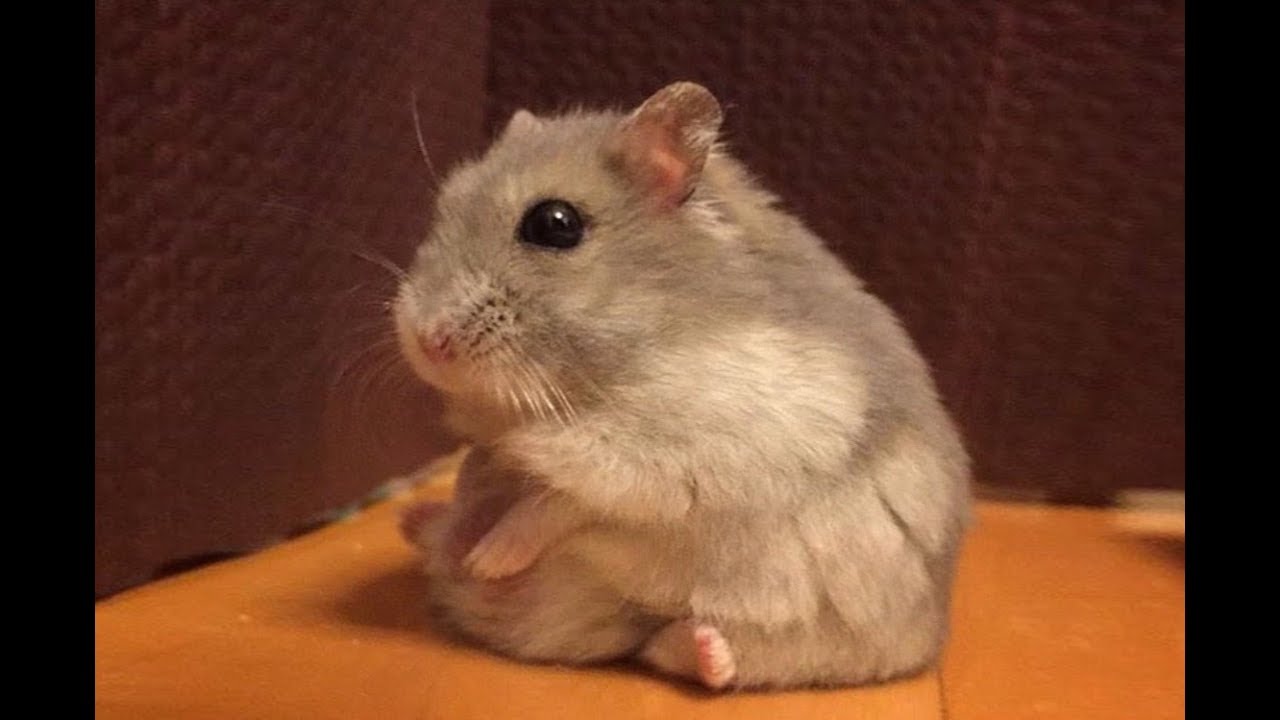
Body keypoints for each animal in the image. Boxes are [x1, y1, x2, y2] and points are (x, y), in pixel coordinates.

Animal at [393, 82, 972, 690]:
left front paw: (489, 558)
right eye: (445, 204)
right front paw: (469, 543)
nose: (426, 339)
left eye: (554, 224)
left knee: (688, 653)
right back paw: (421, 526)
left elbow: (557, 503)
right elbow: (477, 474)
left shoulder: (667, 468)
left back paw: (706, 647)